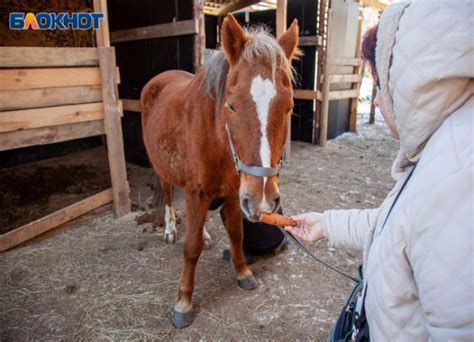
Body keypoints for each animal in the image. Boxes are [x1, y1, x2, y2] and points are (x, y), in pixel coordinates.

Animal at [139, 14, 298, 328]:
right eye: (232, 106)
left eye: (289, 107)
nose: (264, 200)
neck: (217, 139)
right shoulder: (197, 191)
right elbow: (191, 247)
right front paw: (183, 303)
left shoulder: (236, 193)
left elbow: (236, 233)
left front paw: (243, 272)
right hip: (163, 168)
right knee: (167, 193)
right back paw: (170, 228)